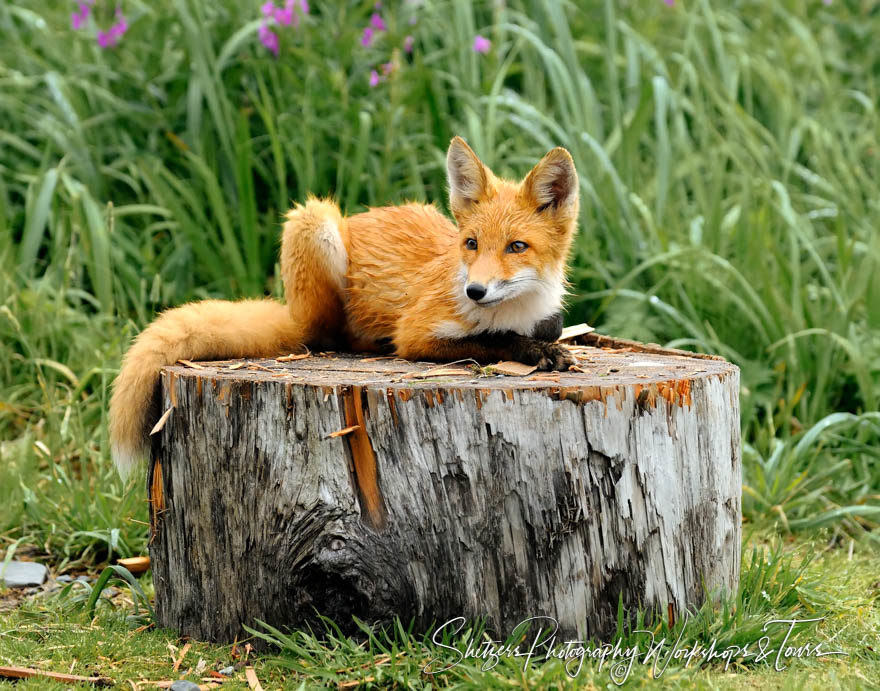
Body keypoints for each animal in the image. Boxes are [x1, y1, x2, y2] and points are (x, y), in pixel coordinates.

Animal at [110, 138, 576, 478]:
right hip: (315, 222)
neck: (516, 308)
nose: (475, 291)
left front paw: (543, 342)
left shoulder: (542, 314)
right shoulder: (417, 335)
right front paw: (534, 351)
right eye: (472, 244)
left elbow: (546, 326)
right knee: (327, 335)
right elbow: (491, 339)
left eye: (517, 247)